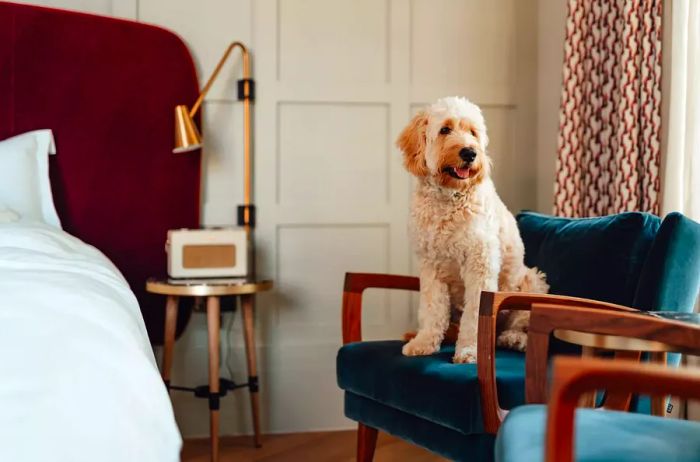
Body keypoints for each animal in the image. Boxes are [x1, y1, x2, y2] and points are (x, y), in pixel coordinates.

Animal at [396, 98, 548, 364]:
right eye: (445, 129)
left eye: (473, 132)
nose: (470, 153)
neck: (449, 198)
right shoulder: (430, 266)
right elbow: (432, 309)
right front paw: (424, 342)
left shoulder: (480, 263)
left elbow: (474, 314)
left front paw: (468, 350)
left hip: (532, 281)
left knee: (520, 325)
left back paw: (513, 338)